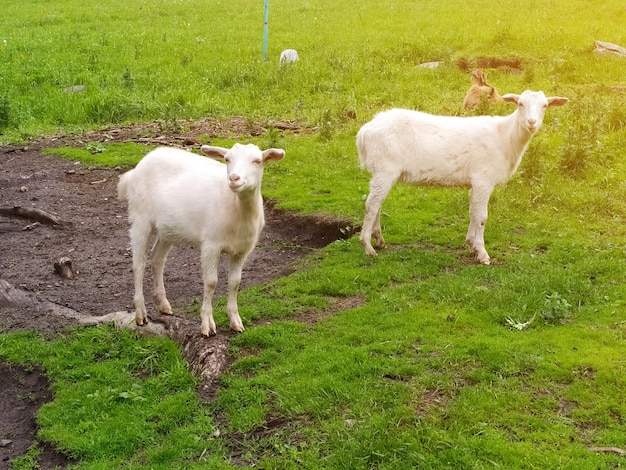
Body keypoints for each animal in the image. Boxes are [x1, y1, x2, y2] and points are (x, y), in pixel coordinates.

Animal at [116, 143, 284, 334]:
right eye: (227, 159)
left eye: (257, 161)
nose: (234, 178)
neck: (236, 207)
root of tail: (135, 170)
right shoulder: (211, 244)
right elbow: (211, 282)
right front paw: (207, 324)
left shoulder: (241, 250)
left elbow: (235, 282)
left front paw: (235, 321)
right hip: (140, 217)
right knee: (138, 264)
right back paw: (140, 314)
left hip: (168, 229)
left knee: (157, 258)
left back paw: (164, 304)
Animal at [356, 90, 564, 262]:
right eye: (520, 104)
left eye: (545, 105)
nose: (532, 122)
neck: (505, 137)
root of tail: (364, 131)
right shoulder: (483, 179)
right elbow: (482, 216)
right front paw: (482, 253)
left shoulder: (475, 182)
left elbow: (472, 212)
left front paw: (471, 244)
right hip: (385, 168)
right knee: (372, 204)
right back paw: (367, 246)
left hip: (383, 171)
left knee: (377, 203)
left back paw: (379, 240)